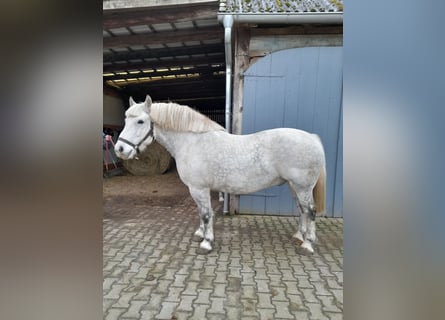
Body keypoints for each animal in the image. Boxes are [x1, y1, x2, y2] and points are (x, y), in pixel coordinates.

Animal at [112, 95, 324, 255]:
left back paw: (307, 245)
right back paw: (299, 236)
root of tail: (312, 138)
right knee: (302, 210)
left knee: (310, 211)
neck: (191, 142)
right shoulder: (196, 189)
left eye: (141, 121)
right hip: (293, 186)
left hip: (302, 187)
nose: (120, 149)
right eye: (125, 120)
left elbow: (206, 214)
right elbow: (201, 212)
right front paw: (200, 234)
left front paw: (206, 243)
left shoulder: (199, 188)